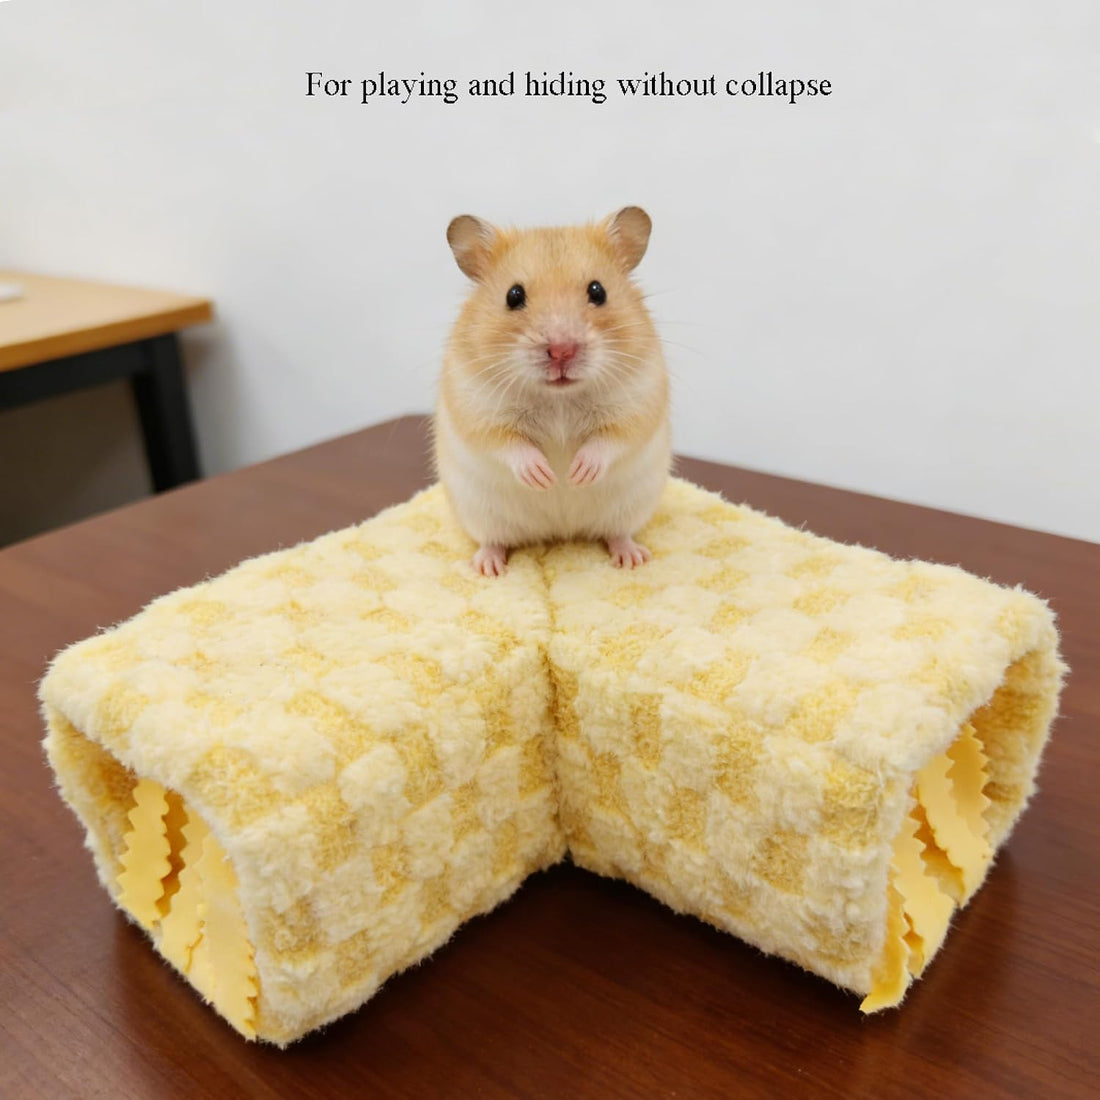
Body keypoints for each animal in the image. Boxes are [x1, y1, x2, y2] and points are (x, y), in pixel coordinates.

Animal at [431, 206, 672, 577]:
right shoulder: (476, 406)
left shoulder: (639, 398)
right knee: (492, 539)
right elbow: (508, 444)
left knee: (618, 533)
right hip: (479, 512)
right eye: (513, 295)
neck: (559, 397)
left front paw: (576, 474)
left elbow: (611, 440)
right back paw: (488, 567)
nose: (562, 351)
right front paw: (544, 477)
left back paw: (632, 559)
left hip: (632, 506)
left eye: (598, 291)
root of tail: (559, 533)